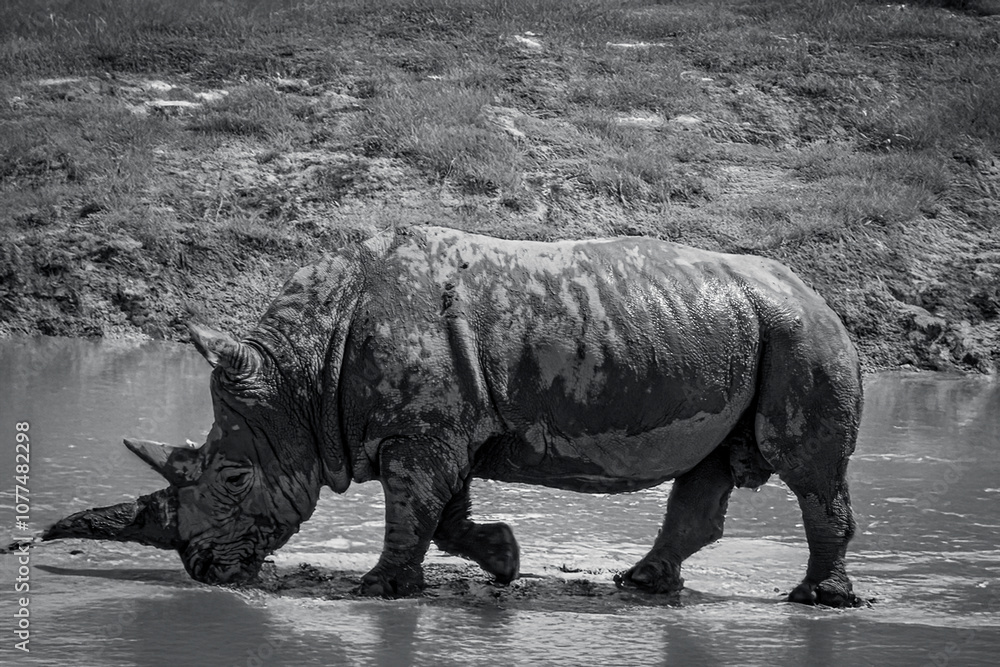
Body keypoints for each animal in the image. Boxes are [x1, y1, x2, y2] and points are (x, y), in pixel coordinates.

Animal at [38, 225, 863, 606]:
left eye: (236, 477)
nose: (205, 569)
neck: (302, 373)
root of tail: (823, 296)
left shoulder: (423, 431)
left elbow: (414, 509)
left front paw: (376, 589)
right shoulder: (441, 425)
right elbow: (444, 511)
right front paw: (505, 560)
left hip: (801, 337)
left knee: (808, 471)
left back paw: (817, 599)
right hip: (750, 331)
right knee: (710, 468)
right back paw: (640, 583)